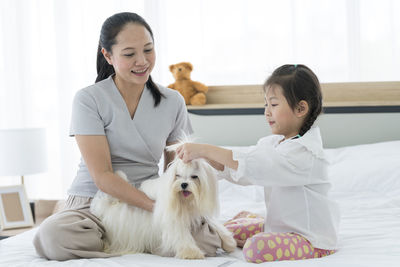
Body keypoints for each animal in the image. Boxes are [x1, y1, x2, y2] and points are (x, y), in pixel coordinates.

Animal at [89, 157, 236, 260]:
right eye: (177, 175)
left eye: (195, 177)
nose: (183, 184)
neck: (185, 202)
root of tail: (109, 204)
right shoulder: (173, 220)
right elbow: (182, 235)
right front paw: (191, 252)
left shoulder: (198, 213)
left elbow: (215, 223)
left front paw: (229, 242)